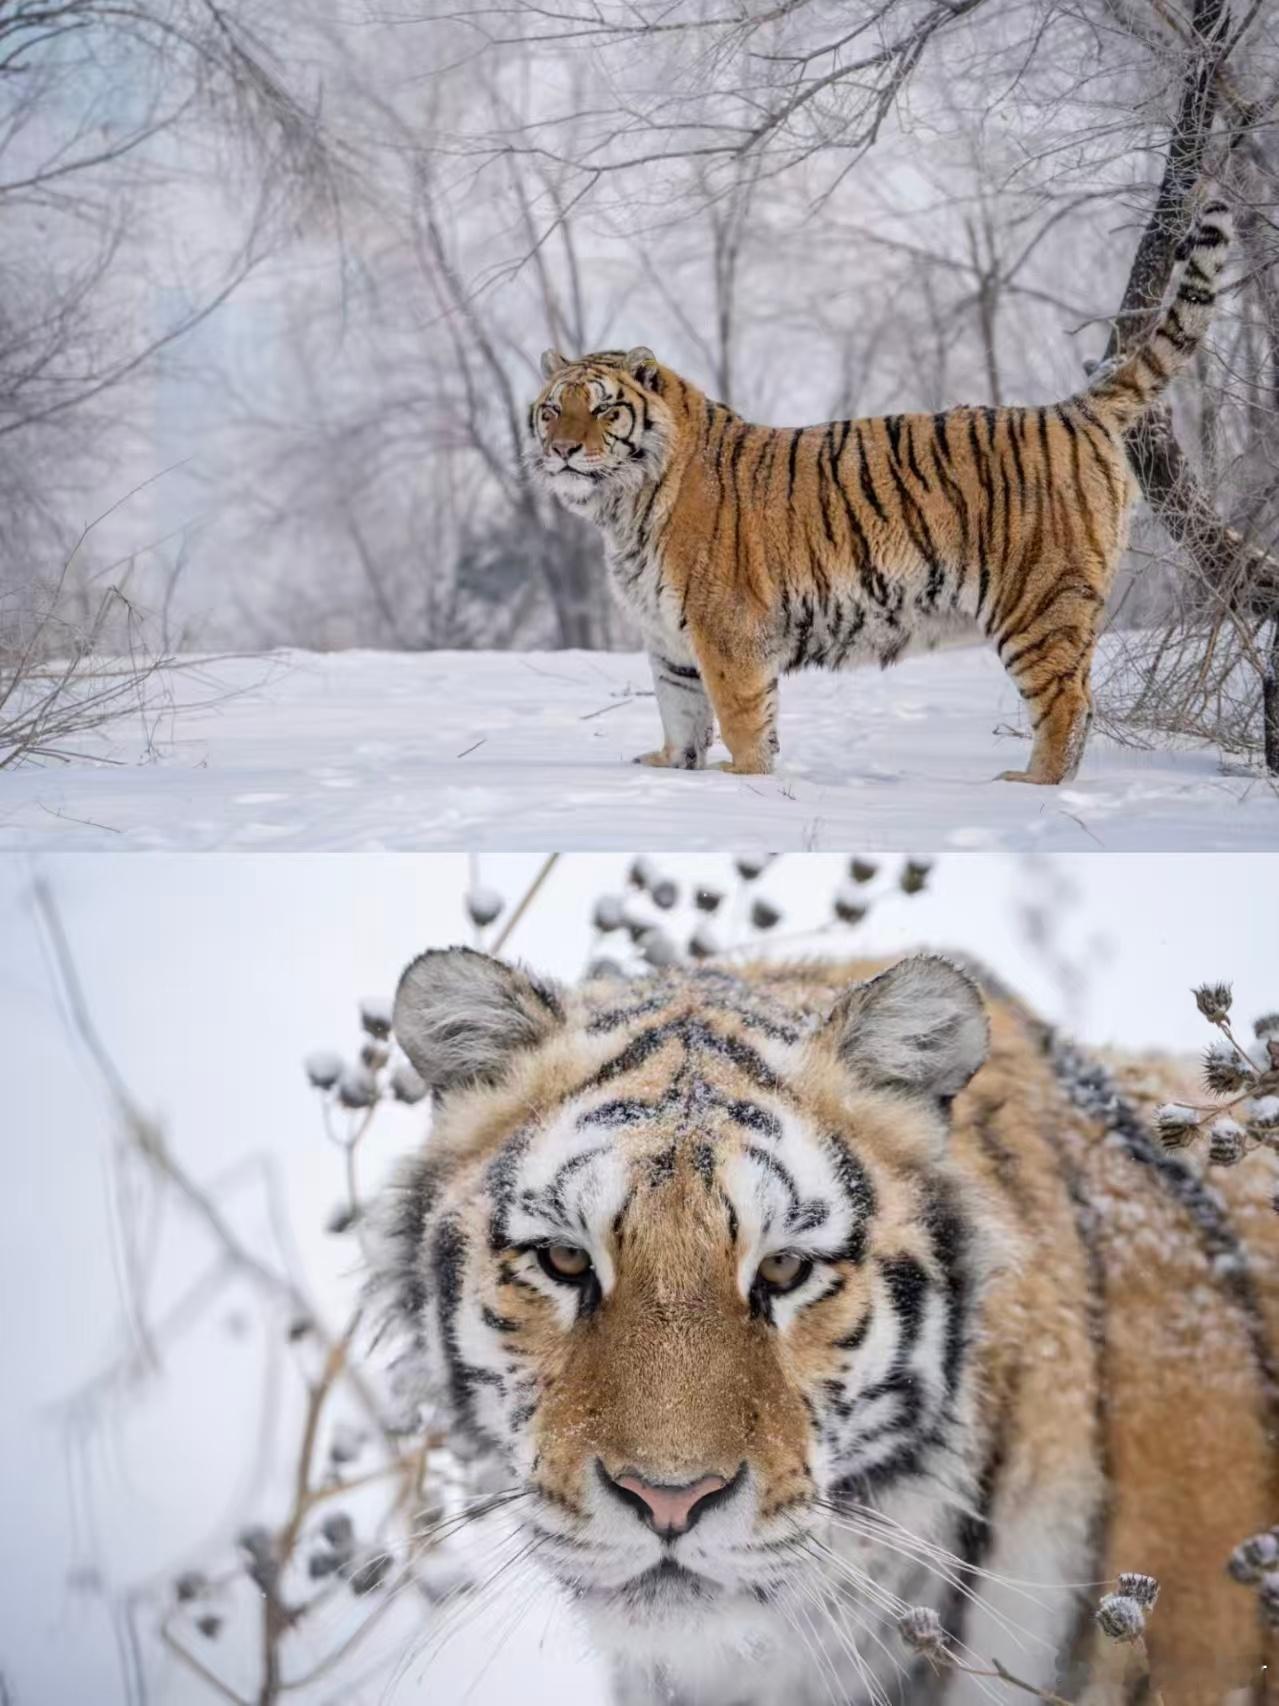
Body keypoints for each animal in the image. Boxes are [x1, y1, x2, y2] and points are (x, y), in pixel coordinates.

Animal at [527, 199, 1233, 782]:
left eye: (602, 409)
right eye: (552, 409)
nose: (562, 450)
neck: (621, 507)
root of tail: (1072, 409)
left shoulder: (727, 629)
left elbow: (741, 717)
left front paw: (745, 782)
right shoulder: (668, 639)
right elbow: (680, 711)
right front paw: (671, 769)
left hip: (1039, 603)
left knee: (1067, 704)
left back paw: (1030, 785)